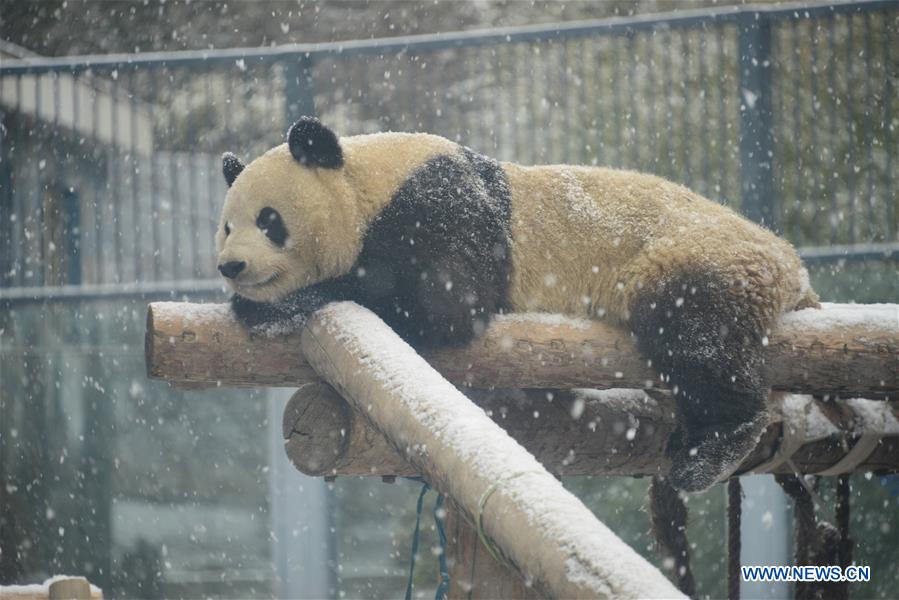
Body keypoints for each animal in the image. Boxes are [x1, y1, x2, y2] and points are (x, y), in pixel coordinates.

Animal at [216, 116, 819, 492]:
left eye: (269, 220)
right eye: (226, 225)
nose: (231, 266)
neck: (367, 179)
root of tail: (793, 267)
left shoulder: (439, 203)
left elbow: (443, 301)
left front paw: (275, 307)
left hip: (695, 255)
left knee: (697, 330)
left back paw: (707, 450)